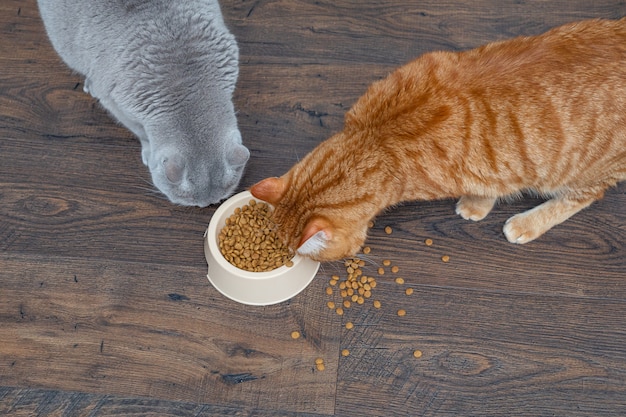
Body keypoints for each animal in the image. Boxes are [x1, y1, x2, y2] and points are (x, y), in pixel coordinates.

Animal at [36, 0, 249, 206]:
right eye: (190, 201)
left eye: (219, 200)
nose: (205, 206)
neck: (185, 86)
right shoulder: (114, 103)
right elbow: (140, 131)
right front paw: (148, 150)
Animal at [250, 19, 624, 262]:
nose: (287, 256)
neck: (377, 136)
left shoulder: (490, 170)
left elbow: (487, 189)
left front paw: (474, 207)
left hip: (584, 169)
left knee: (585, 196)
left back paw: (527, 223)